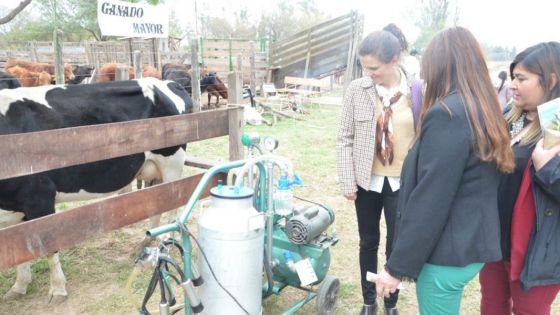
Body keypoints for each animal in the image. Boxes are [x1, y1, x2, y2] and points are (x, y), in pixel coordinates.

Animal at [0, 77, 192, 304]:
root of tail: (165, 82)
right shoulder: (16, 207)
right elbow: (21, 249)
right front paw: (19, 286)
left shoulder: (40, 197)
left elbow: (49, 248)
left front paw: (57, 289)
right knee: (157, 202)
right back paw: (146, 241)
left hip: (172, 163)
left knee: (173, 204)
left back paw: (166, 241)